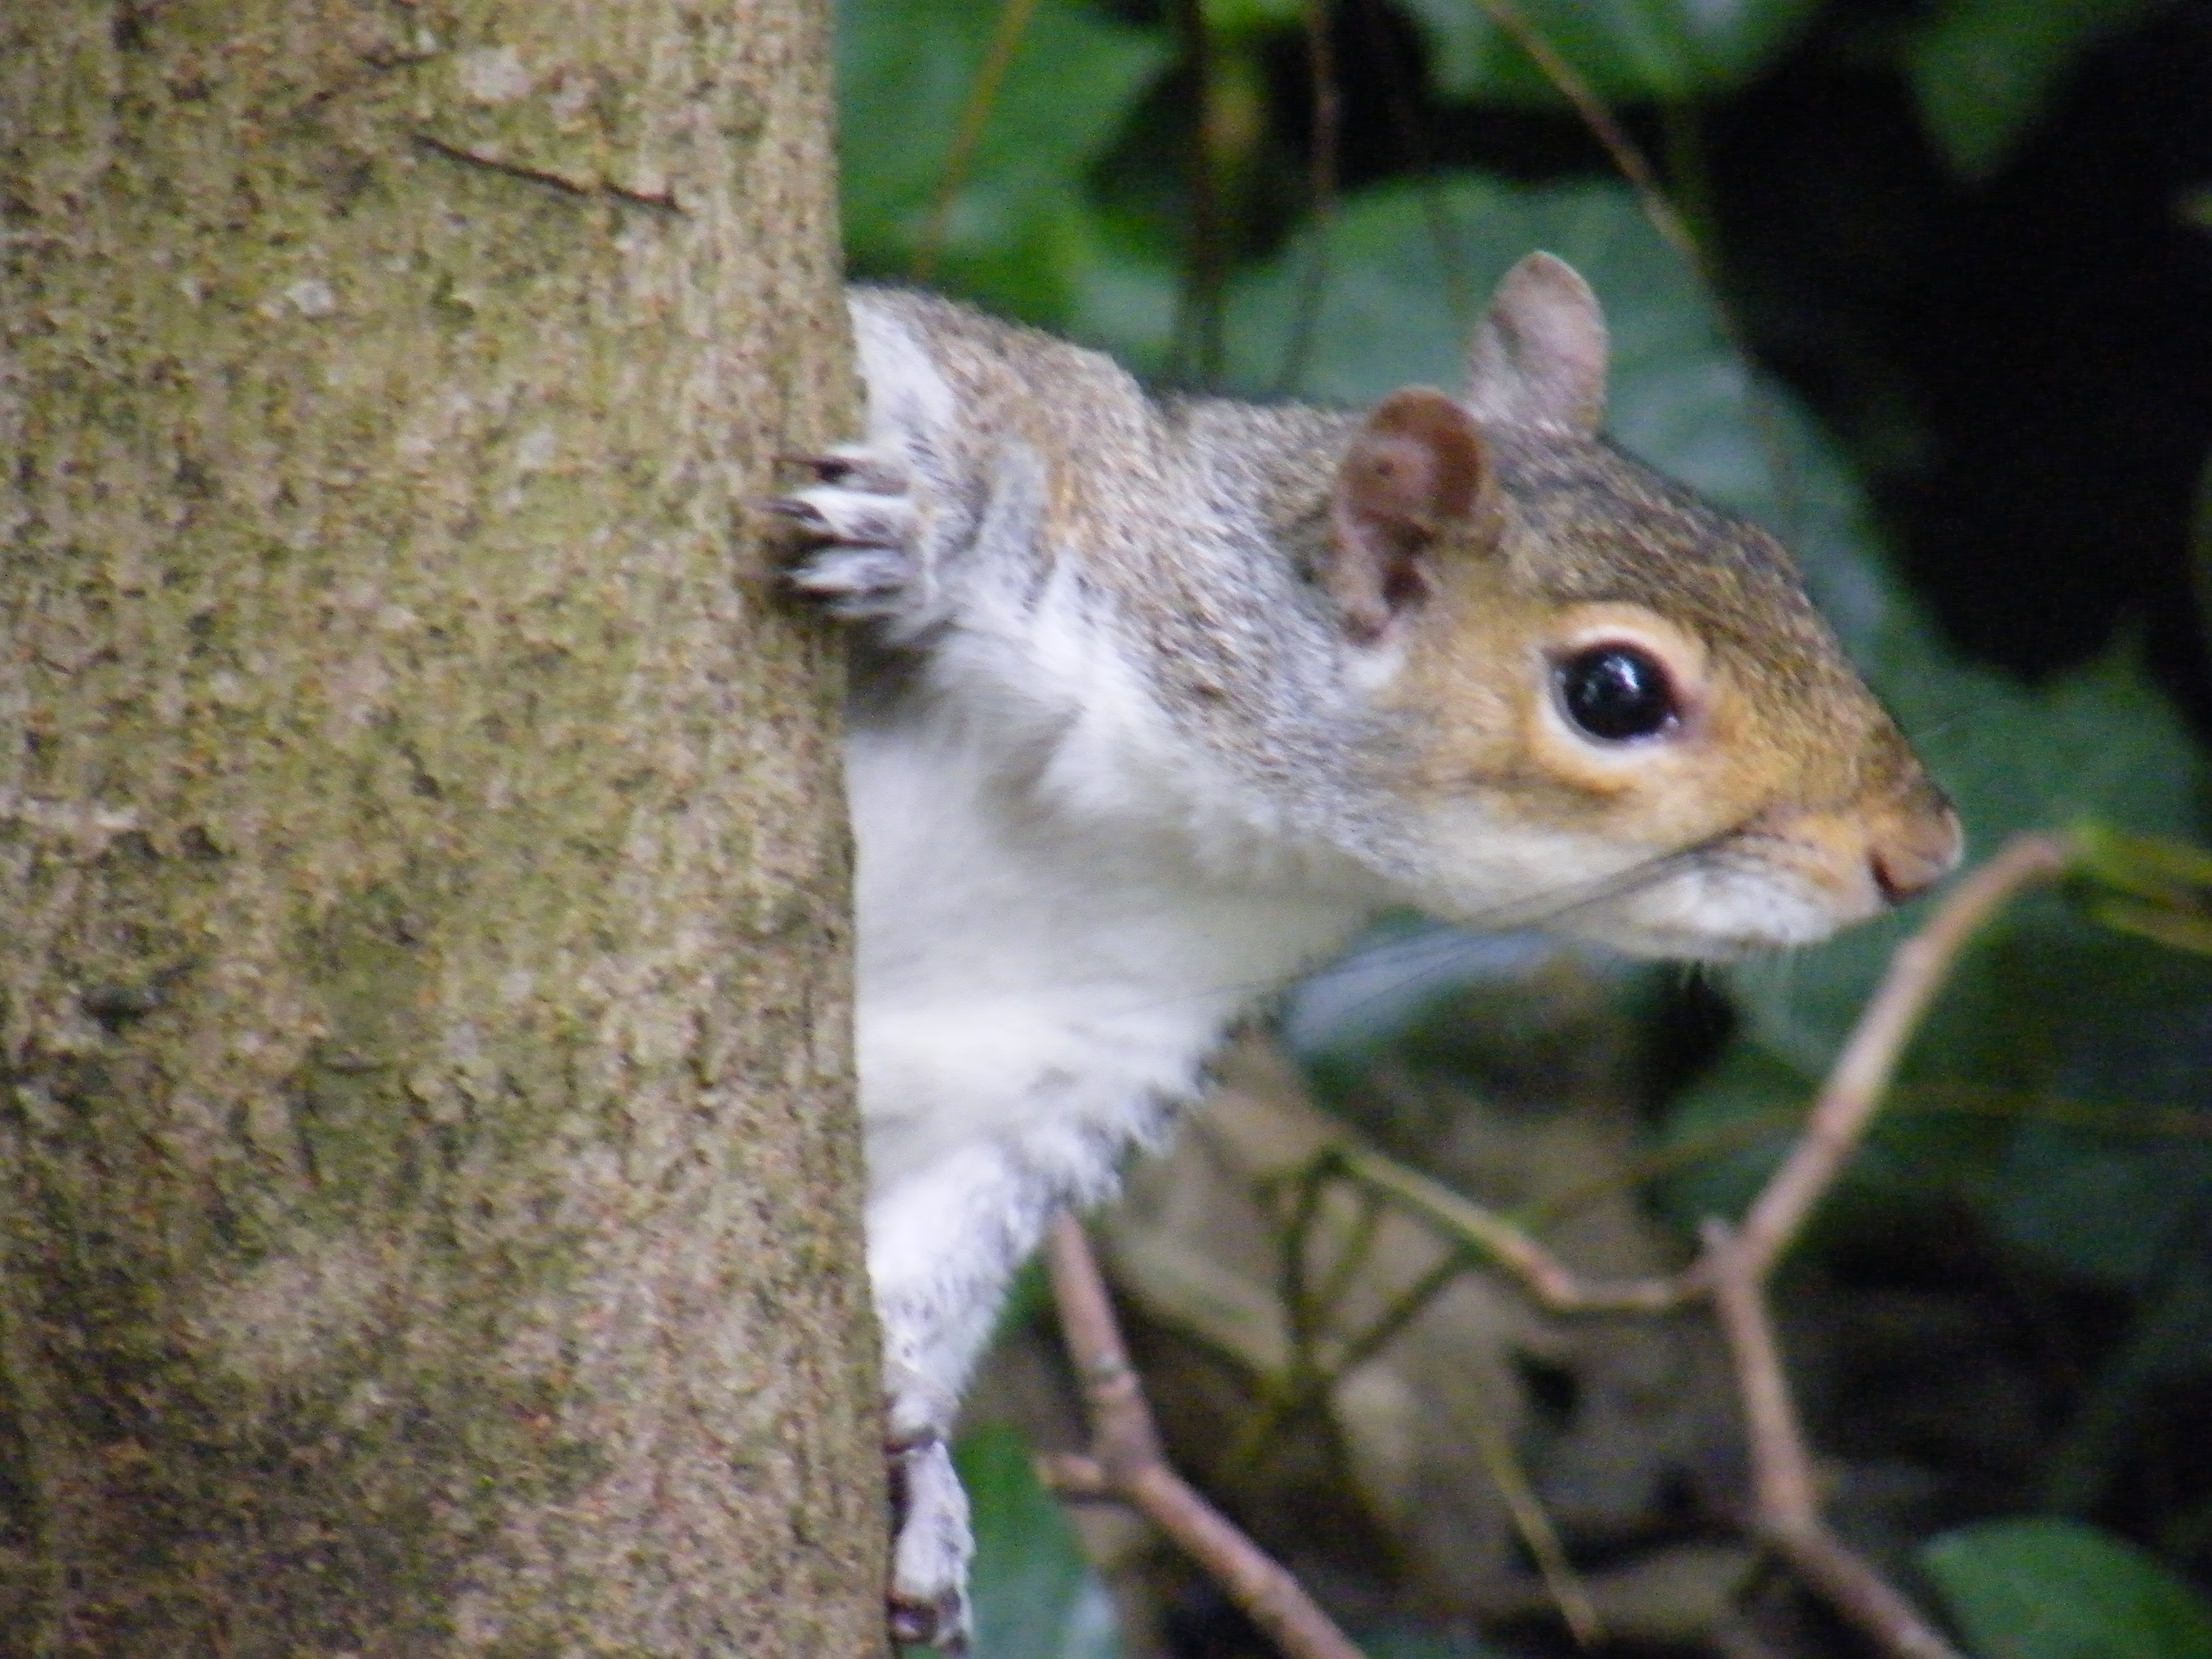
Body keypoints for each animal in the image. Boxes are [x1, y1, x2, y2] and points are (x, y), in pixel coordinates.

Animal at [770, 253, 1961, 1649]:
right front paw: (914, 532)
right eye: (1613, 693)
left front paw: (918, 1456)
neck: (1176, 822)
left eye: (1775, 561)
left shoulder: (1074, 1051)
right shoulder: (1016, 428)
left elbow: (940, 1247)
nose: (1923, 850)